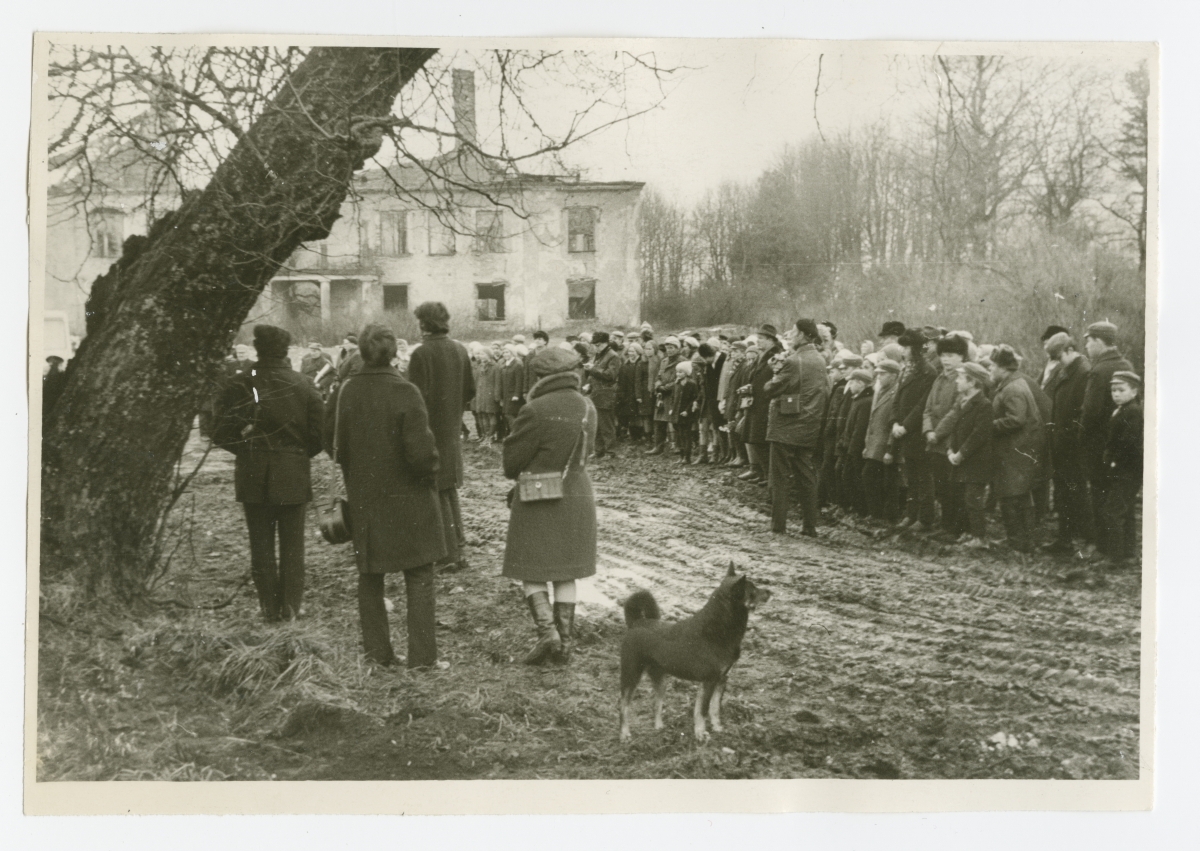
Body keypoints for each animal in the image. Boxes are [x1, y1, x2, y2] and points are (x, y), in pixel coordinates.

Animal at [614, 564, 772, 744]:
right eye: (752, 590)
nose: (769, 592)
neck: (719, 629)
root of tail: (636, 622)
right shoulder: (709, 681)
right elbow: (703, 710)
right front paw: (702, 734)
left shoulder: (721, 679)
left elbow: (714, 708)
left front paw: (717, 728)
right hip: (631, 674)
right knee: (623, 705)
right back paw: (624, 734)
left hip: (661, 678)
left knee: (656, 703)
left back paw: (659, 728)